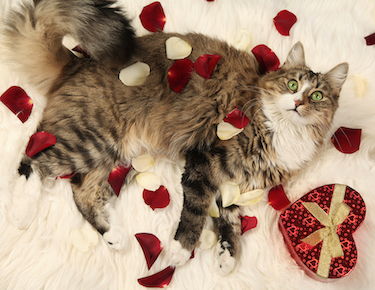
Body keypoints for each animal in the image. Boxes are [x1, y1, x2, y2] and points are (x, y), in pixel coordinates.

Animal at [1, 0, 350, 274]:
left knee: (82, 190)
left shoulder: (233, 183)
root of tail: (77, 62)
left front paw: (227, 256)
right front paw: (179, 251)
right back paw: (20, 211)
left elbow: (231, 222)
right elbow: (196, 212)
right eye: (292, 85)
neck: (283, 132)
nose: (299, 102)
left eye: (317, 95)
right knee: (34, 157)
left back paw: (113, 234)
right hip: (90, 138)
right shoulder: (205, 161)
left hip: (115, 155)